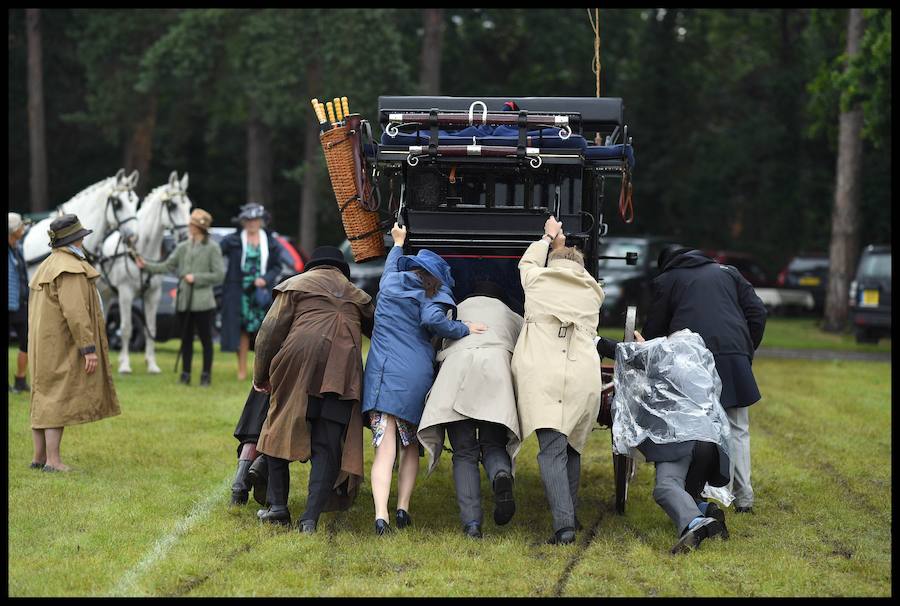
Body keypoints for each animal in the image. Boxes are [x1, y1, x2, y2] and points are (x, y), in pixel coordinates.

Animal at [101, 171, 192, 376]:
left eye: (189, 206)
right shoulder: (126, 293)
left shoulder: (153, 295)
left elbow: (151, 327)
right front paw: (125, 366)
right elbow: (126, 329)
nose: (186, 238)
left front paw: (151, 364)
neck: (141, 250)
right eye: (173, 205)